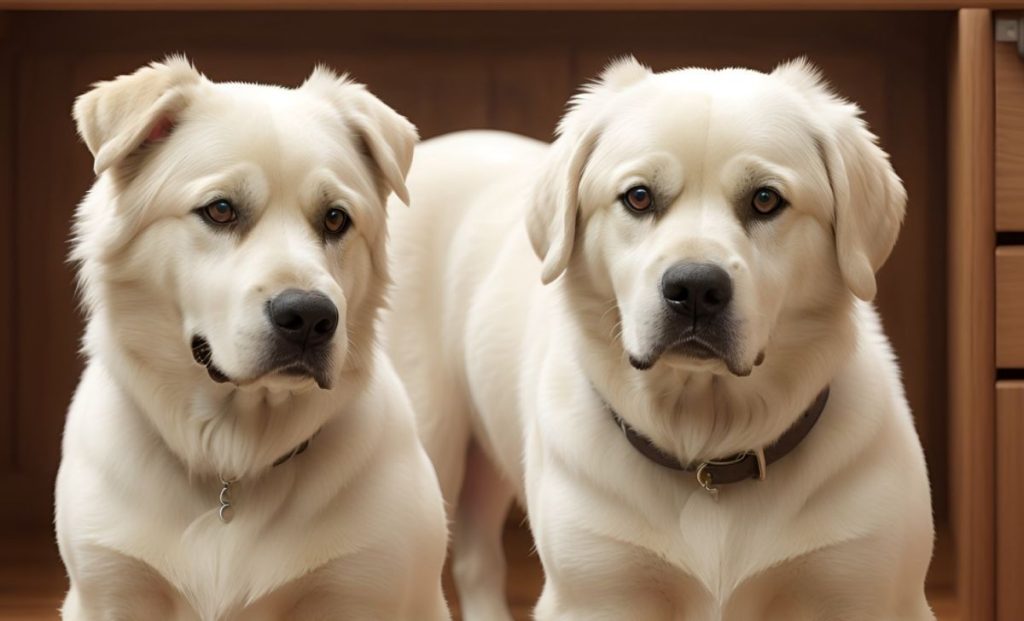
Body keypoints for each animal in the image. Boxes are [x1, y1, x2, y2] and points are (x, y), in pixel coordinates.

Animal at [56, 55, 448, 618]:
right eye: (220, 210)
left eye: (336, 219)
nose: (309, 317)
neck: (235, 462)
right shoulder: (109, 592)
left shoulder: (359, 593)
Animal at [385, 55, 937, 618]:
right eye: (638, 197)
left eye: (765, 200)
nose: (694, 288)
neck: (709, 450)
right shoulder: (594, 592)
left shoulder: (869, 591)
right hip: (431, 447)